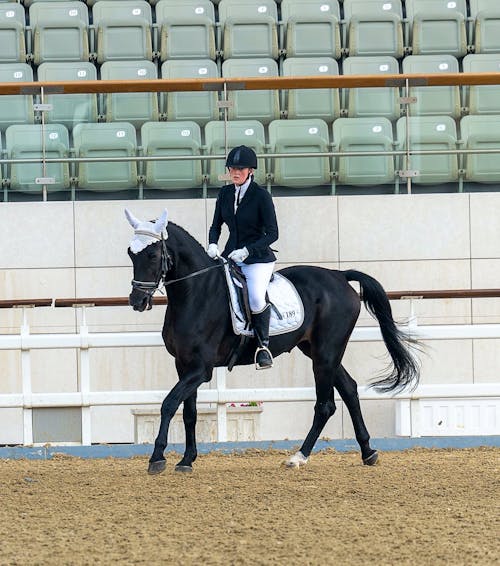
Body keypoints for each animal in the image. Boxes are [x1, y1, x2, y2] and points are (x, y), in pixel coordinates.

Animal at [125, 209, 418, 474]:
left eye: (153, 254)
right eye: (130, 253)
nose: (137, 301)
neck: (196, 294)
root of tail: (339, 275)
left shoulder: (200, 369)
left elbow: (169, 404)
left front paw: (157, 458)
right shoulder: (184, 365)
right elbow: (189, 412)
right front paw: (186, 460)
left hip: (326, 353)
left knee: (326, 405)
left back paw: (298, 457)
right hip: (317, 350)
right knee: (349, 389)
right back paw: (368, 452)